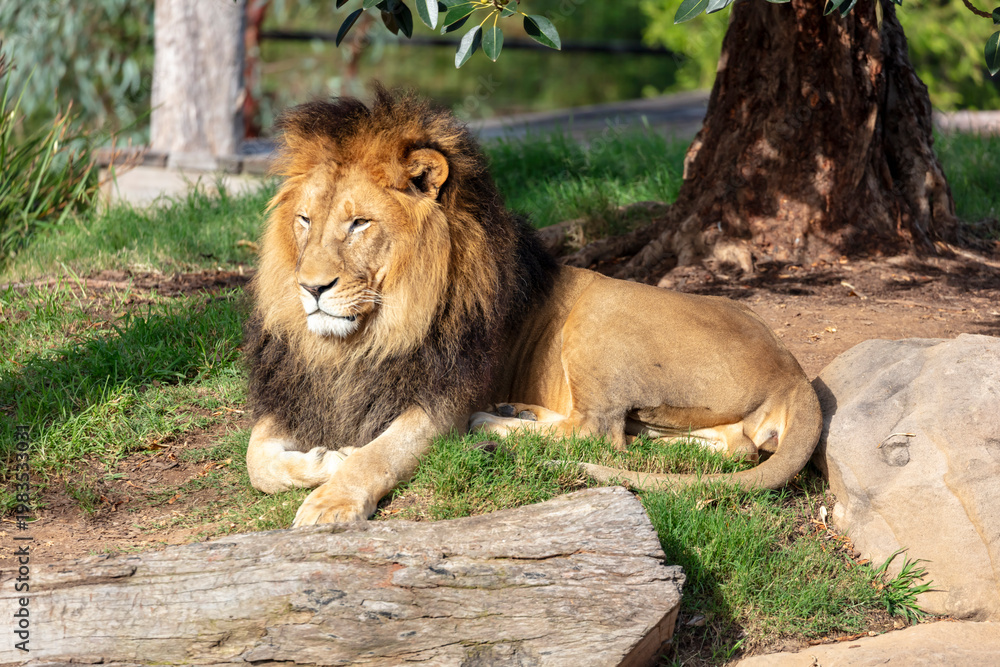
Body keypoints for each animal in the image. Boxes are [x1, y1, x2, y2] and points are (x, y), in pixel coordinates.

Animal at [243, 87, 823, 526]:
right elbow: (258, 460)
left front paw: (333, 499)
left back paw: (492, 426)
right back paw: (520, 413)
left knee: (597, 435)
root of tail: (792, 371)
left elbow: (379, 453)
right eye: (304, 221)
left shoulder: (443, 400)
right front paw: (327, 457)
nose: (310, 288)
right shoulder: (305, 393)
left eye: (360, 223)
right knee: (728, 444)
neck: (364, 338)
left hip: (599, 314)